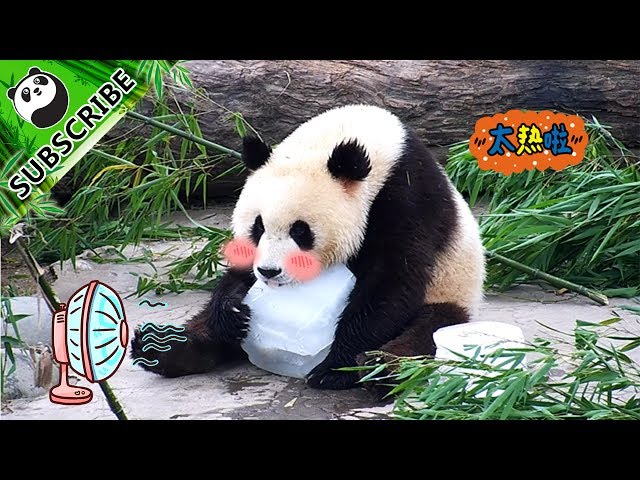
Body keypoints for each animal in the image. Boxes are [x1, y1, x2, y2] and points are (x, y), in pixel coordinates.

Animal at [131, 104, 486, 390]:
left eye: (301, 232)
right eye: (258, 228)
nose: (269, 271)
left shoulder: (407, 199)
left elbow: (393, 281)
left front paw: (334, 368)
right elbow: (236, 278)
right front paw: (232, 309)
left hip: (450, 287)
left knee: (424, 331)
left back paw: (380, 369)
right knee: (205, 324)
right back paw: (160, 349)